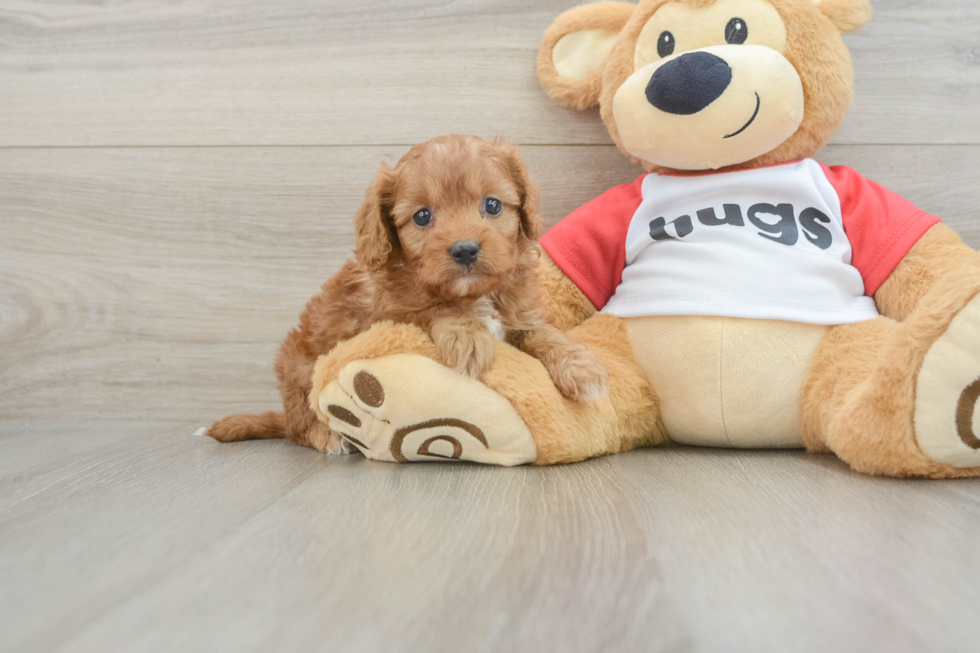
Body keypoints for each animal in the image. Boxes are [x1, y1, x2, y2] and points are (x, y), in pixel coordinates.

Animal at [207, 135, 604, 454]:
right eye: (422, 216)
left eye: (492, 205)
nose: (465, 250)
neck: (472, 294)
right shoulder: (389, 315)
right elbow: (431, 309)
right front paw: (467, 335)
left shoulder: (520, 314)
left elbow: (541, 332)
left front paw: (579, 366)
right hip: (299, 367)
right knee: (300, 425)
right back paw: (328, 437)